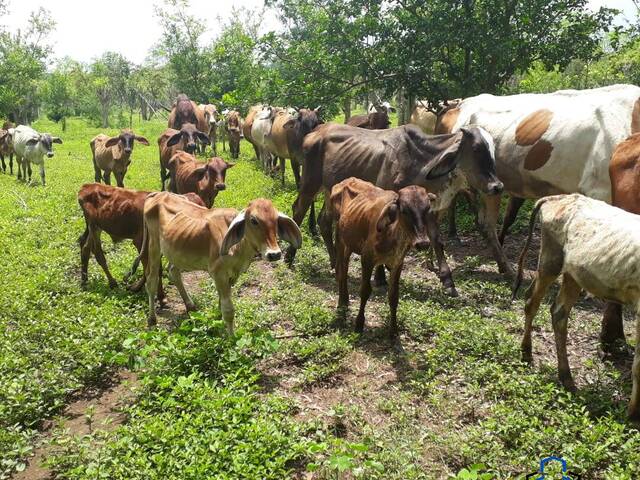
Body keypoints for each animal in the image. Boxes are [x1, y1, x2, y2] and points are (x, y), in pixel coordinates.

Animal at [77, 184, 205, 296]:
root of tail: (86, 186)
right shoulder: (140, 242)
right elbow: (150, 269)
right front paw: (159, 296)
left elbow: (154, 268)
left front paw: (140, 289)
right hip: (93, 226)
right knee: (95, 251)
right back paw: (109, 282)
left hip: (95, 227)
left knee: (84, 245)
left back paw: (85, 280)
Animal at [134, 191, 302, 330]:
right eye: (254, 220)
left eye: (276, 220)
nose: (274, 254)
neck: (239, 248)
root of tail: (158, 194)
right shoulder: (218, 273)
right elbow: (228, 310)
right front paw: (231, 338)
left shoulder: (232, 275)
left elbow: (221, 301)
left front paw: (219, 319)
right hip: (154, 245)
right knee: (151, 280)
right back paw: (152, 319)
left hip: (176, 249)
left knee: (173, 272)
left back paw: (190, 305)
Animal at [330, 177, 440, 338]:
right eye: (404, 211)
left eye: (427, 209)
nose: (423, 243)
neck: (392, 235)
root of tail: (347, 180)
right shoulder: (367, 259)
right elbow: (365, 291)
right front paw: (359, 324)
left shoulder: (397, 263)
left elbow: (393, 295)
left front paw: (393, 330)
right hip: (340, 240)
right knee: (341, 272)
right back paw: (341, 304)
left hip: (349, 243)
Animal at [512, 194, 640, 420]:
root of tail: (558, 197)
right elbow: (638, 365)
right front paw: (633, 414)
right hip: (550, 260)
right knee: (531, 303)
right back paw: (527, 353)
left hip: (574, 274)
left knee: (558, 312)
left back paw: (566, 378)